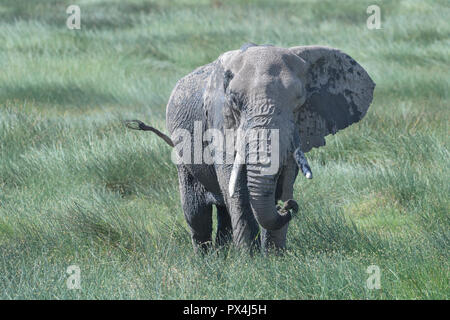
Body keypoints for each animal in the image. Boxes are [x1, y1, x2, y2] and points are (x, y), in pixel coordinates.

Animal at [125, 43, 374, 252]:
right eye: (234, 102)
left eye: (299, 101)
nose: (287, 207)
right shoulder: (219, 124)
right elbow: (239, 193)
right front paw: (251, 264)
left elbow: (283, 184)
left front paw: (275, 259)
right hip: (182, 152)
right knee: (197, 213)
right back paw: (207, 262)